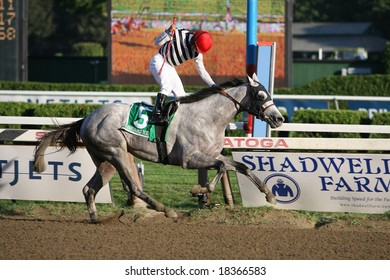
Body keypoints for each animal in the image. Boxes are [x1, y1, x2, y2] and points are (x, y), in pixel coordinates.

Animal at [33, 73, 284, 222]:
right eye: (261, 95)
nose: (279, 118)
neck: (208, 117)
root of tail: (86, 118)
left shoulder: (211, 154)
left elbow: (240, 166)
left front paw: (270, 195)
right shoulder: (189, 158)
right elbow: (222, 167)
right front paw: (200, 190)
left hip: (105, 159)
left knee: (89, 188)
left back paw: (95, 217)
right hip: (116, 152)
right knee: (133, 187)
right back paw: (166, 209)